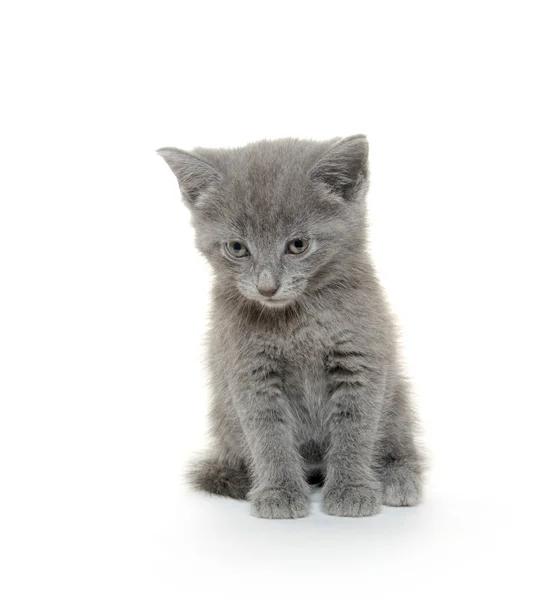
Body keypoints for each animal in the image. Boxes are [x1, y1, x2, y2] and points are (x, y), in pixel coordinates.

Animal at [157, 135, 426, 516]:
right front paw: (279, 492)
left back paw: (397, 478)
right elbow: (268, 437)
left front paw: (352, 489)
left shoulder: (362, 360)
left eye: (298, 244)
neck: (296, 320)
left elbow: (355, 430)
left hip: (398, 395)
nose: (267, 287)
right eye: (237, 248)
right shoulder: (249, 372)